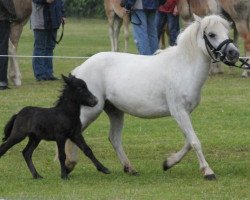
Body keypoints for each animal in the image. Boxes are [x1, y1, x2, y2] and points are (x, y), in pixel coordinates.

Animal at [63, 14, 238, 180]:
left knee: (114, 138)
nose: (234, 53)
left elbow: (189, 141)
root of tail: (80, 69)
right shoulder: (178, 112)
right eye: (211, 34)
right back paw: (68, 165)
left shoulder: (185, 113)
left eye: (227, 31)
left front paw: (168, 163)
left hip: (114, 111)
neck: (182, 68)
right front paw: (208, 172)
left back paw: (130, 169)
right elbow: (195, 141)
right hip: (90, 111)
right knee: (74, 132)